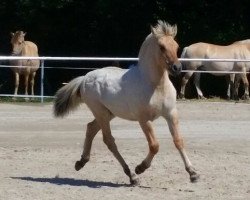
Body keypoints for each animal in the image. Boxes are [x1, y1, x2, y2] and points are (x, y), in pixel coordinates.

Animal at [52, 21, 199, 185]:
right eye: (161, 46)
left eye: (176, 46)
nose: (177, 68)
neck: (155, 85)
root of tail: (85, 78)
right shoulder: (144, 119)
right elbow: (154, 145)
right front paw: (140, 168)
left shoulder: (171, 114)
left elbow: (178, 141)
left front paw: (193, 173)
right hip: (101, 113)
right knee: (109, 140)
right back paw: (132, 175)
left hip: (109, 114)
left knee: (91, 128)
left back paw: (81, 162)